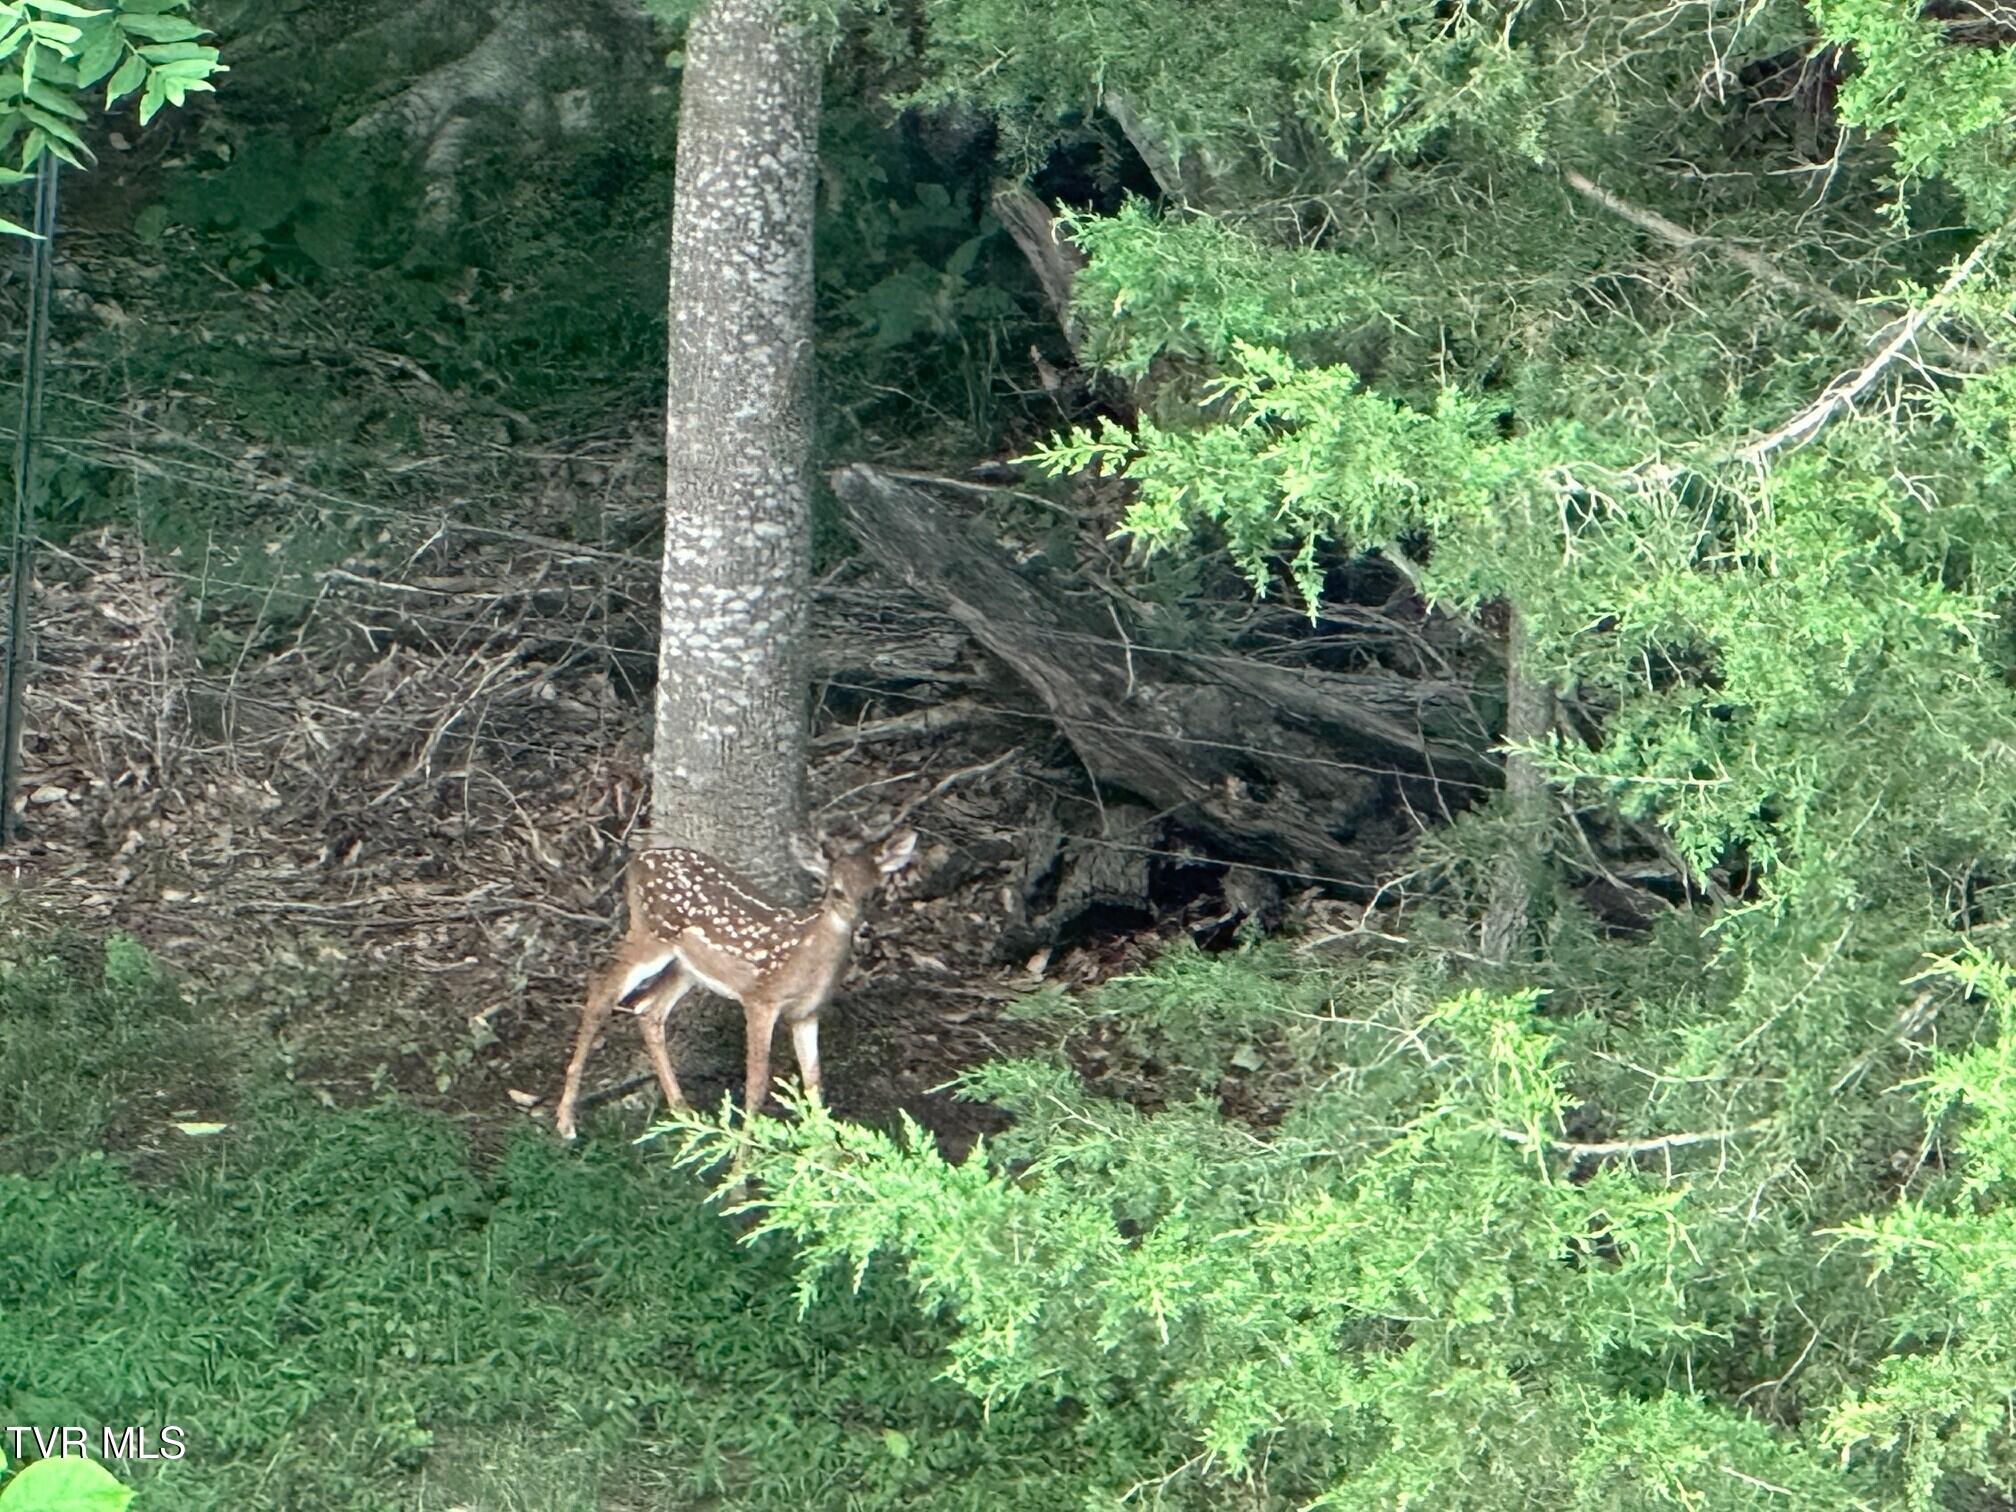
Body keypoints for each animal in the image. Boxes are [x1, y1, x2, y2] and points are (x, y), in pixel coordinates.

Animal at [552, 827, 918, 1141]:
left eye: (875, 891)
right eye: (836, 890)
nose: (863, 925)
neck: (807, 957)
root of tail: (637, 860)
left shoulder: (806, 1013)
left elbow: (814, 1084)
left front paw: (830, 1161)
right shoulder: (760, 999)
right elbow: (757, 1085)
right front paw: (740, 1174)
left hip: (687, 967)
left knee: (648, 1008)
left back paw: (684, 1114)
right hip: (649, 936)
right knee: (601, 993)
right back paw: (566, 1122)